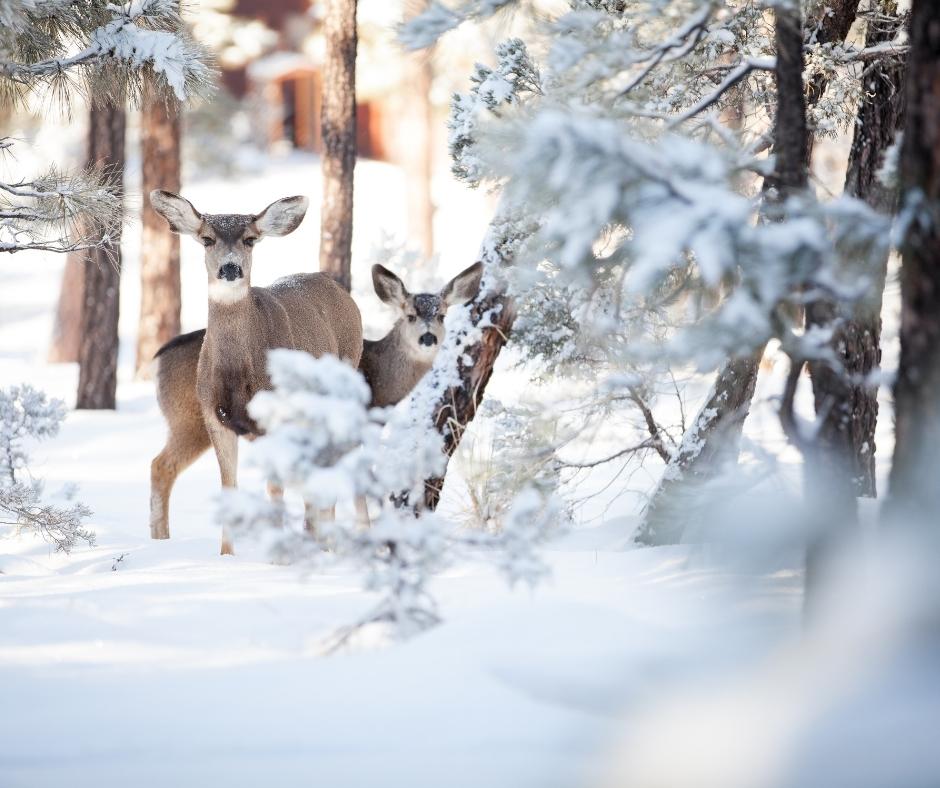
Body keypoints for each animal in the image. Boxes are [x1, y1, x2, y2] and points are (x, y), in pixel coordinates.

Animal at [148, 192, 364, 556]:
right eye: (207, 239)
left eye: (249, 239)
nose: (230, 268)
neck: (237, 374)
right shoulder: (213, 414)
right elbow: (229, 487)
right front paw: (227, 556)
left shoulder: (274, 418)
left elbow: (275, 487)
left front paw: (278, 557)